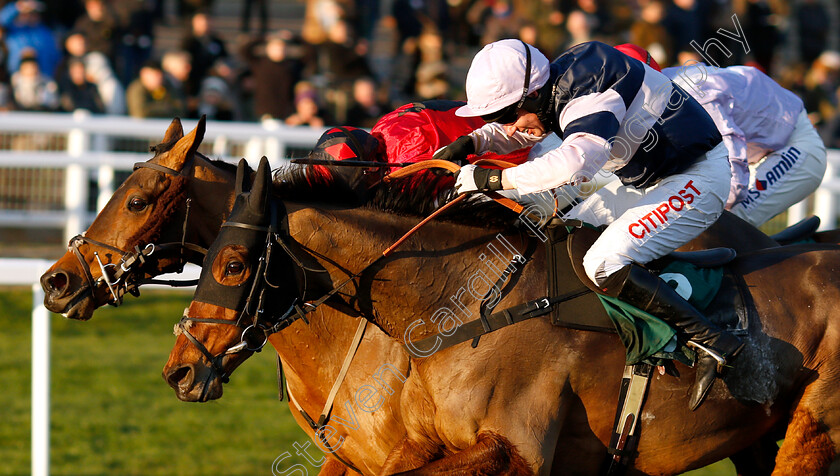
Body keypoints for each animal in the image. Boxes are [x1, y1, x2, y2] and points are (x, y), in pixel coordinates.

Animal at [162, 158, 840, 474]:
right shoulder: (411, 444)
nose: (179, 369)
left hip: (812, 428)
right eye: (204, 256)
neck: (462, 302)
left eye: (231, 266)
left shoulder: (517, 451)